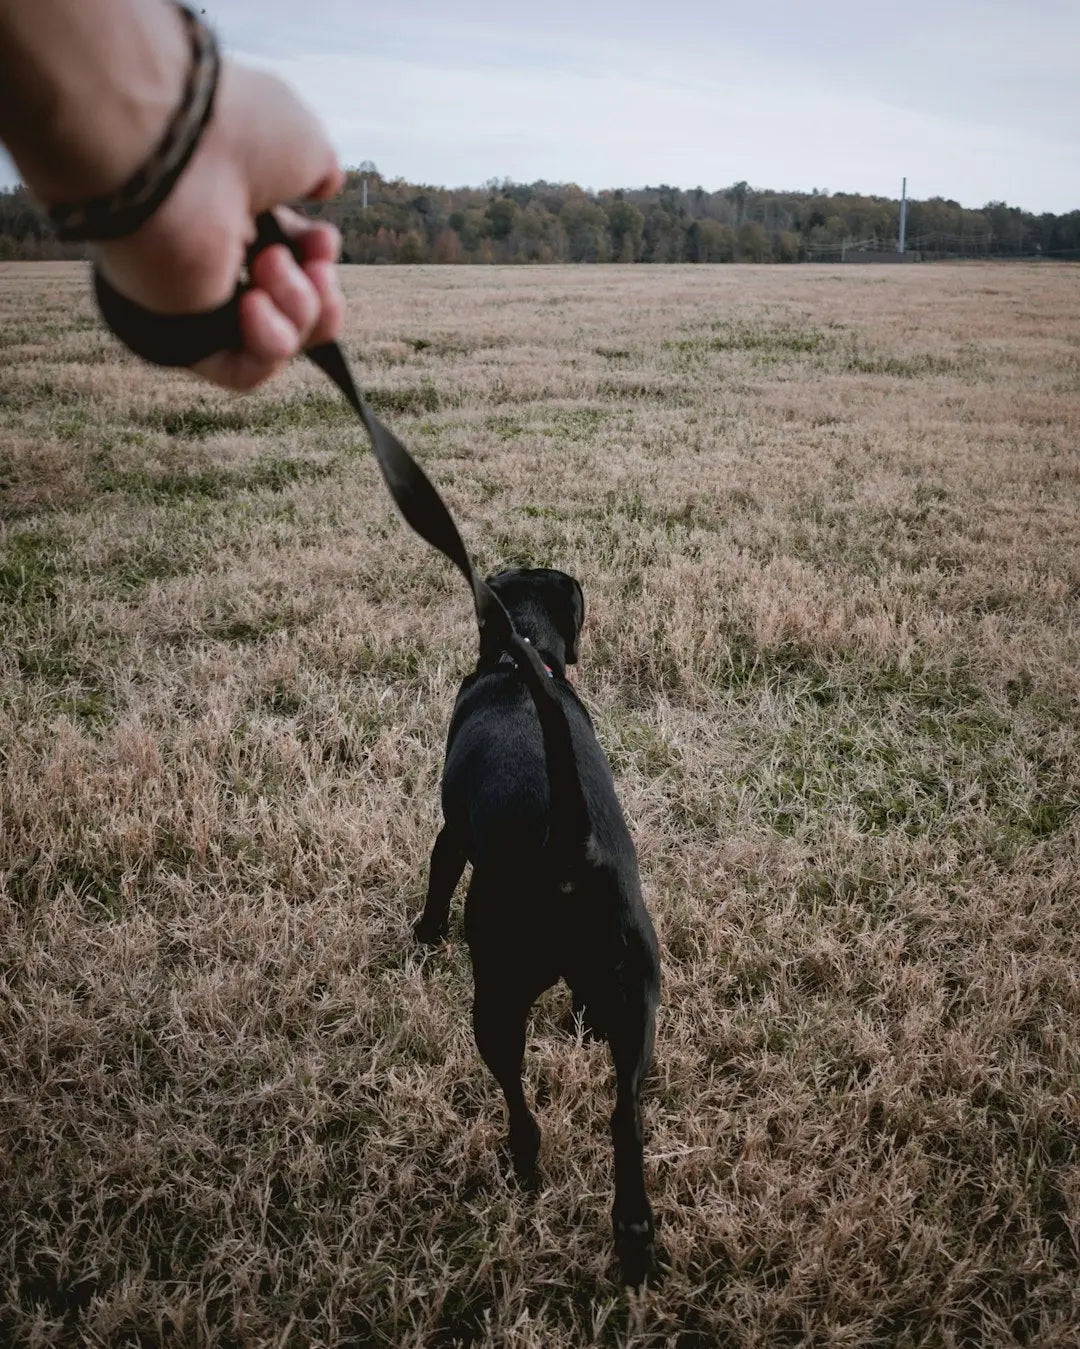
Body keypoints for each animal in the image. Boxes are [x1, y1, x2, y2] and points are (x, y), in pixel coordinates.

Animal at [415, 563, 657, 1278]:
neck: (521, 660)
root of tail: (570, 845)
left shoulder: (450, 836)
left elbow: (437, 882)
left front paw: (424, 934)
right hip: (638, 996)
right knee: (625, 1115)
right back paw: (633, 1231)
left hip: (495, 996)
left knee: (519, 1100)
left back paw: (523, 1161)